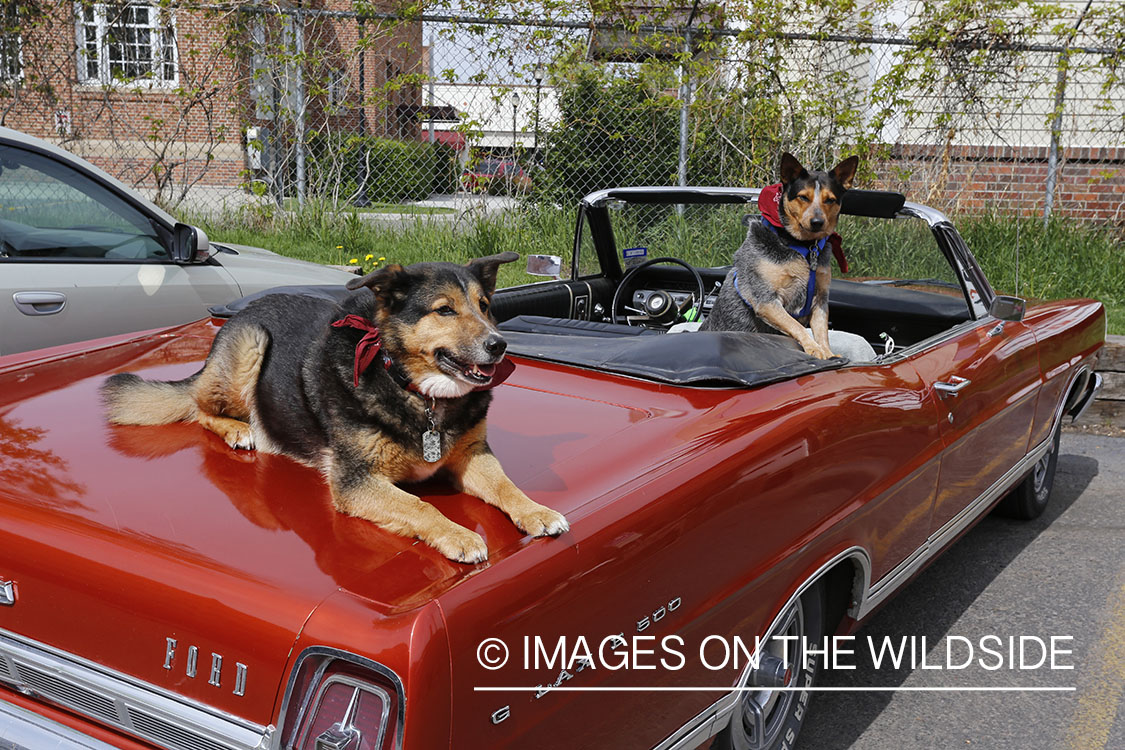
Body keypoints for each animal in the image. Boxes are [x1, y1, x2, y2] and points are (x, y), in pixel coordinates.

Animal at [101, 254, 567, 562]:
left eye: (485, 306)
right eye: (445, 310)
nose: (499, 345)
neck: (418, 391)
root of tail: (245, 310)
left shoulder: (472, 455)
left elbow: (507, 486)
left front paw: (536, 511)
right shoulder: (355, 481)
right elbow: (420, 505)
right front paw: (459, 534)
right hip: (251, 342)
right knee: (201, 408)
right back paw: (240, 430)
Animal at [702, 150, 859, 359]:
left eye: (830, 199)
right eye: (803, 197)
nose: (817, 222)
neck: (802, 246)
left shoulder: (820, 300)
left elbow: (822, 332)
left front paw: (828, 352)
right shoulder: (766, 300)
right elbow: (795, 325)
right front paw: (814, 348)